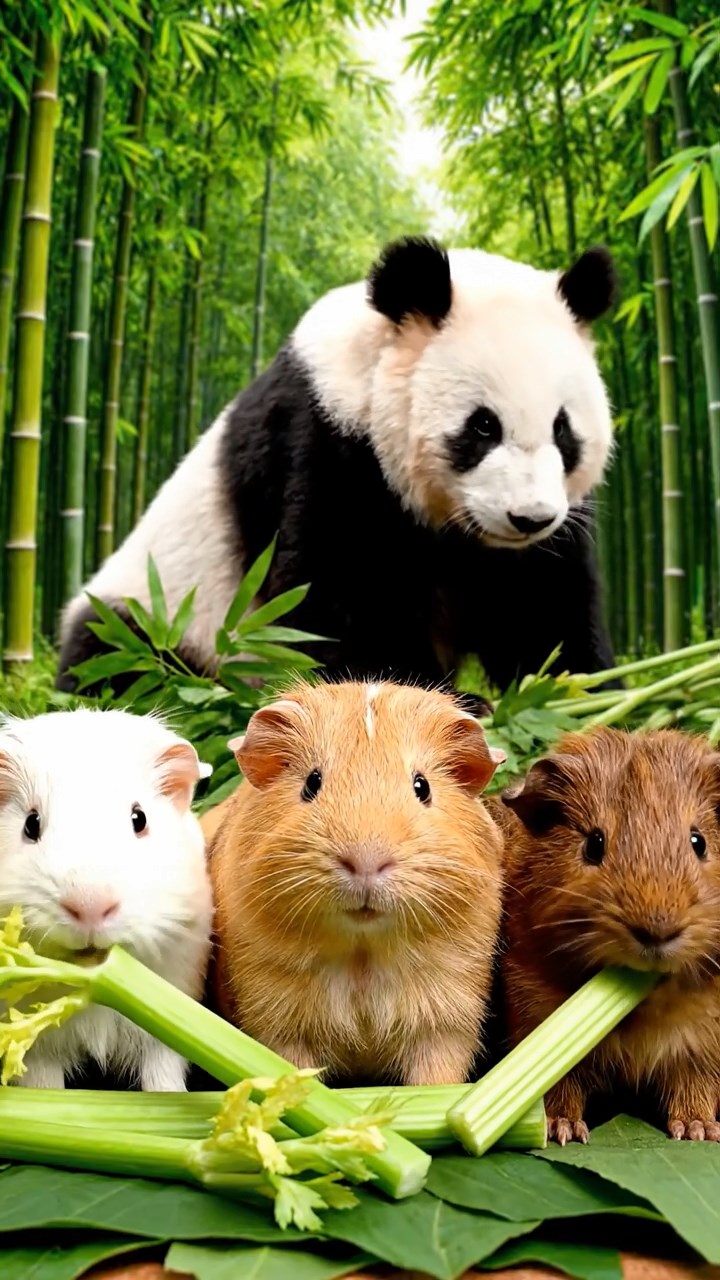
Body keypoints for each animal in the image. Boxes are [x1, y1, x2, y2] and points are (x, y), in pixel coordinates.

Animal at [58, 236, 618, 695]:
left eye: (562, 429)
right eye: (483, 426)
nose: (530, 518)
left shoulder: (549, 533)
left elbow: (543, 610)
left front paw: (584, 696)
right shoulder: (325, 442)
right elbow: (337, 597)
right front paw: (440, 699)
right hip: (164, 614)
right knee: (118, 661)